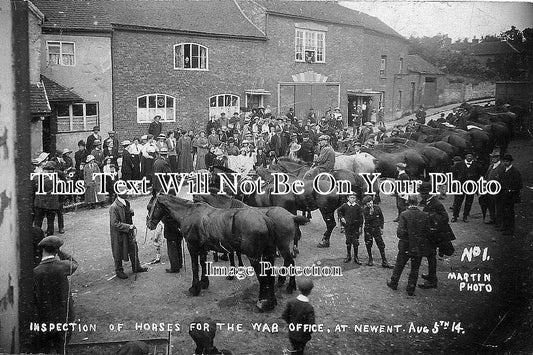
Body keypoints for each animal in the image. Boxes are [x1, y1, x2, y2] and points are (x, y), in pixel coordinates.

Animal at [148, 195, 286, 312]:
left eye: (150, 207)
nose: (149, 225)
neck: (188, 212)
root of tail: (265, 219)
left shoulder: (192, 246)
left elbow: (195, 267)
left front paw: (194, 288)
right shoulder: (202, 248)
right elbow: (203, 264)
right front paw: (204, 283)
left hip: (255, 257)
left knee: (262, 278)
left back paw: (262, 303)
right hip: (269, 254)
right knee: (270, 276)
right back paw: (272, 302)